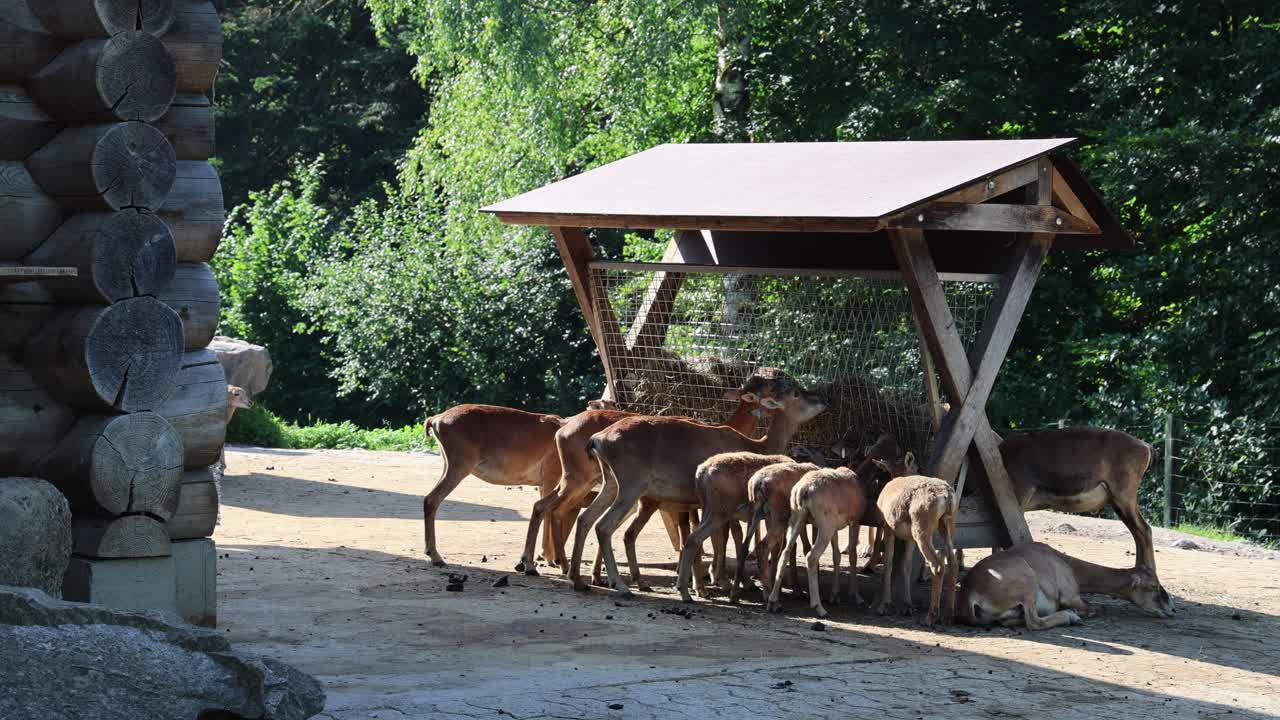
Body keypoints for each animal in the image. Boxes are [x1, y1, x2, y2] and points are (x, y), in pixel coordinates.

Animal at [574, 372, 827, 598]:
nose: (822, 399)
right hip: (630, 486)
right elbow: (727, 535)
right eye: (795, 392)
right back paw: (621, 585)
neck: (754, 445)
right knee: (604, 526)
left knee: (585, 518)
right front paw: (723, 582)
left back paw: (579, 579)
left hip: (611, 484)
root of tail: (598, 439)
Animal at [874, 469, 956, 627]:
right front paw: (907, 606)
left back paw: (930, 618)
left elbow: (888, 564)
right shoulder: (909, 538)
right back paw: (948, 616)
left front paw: (883, 606)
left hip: (922, 530)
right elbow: (907, 566)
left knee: (937, 565)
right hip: (946, 524)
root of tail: (946, 495)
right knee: (952, 562)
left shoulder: (888, 529)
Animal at [959, 542, 1175, 630]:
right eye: (1153, 586)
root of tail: (970, 592)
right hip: (1026, 582)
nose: (1171, 609)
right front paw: (1076, 613)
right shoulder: (1071, 596)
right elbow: (1094, 608)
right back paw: (1070, 617)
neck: (1068, 564)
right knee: (1034, 623)